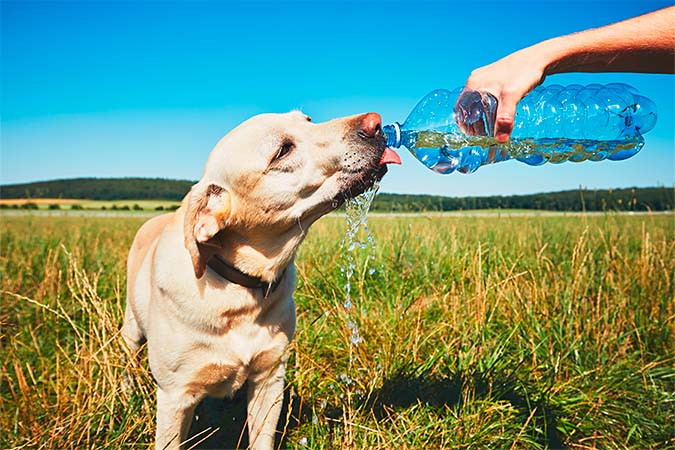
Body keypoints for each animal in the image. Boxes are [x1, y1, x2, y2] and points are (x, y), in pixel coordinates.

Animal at [122, 110, 402, 450]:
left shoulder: (270, 379)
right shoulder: (175, 396)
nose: (375, 122)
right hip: (131, 329)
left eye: (308, 119)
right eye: (282, 151)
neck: (239, 291)